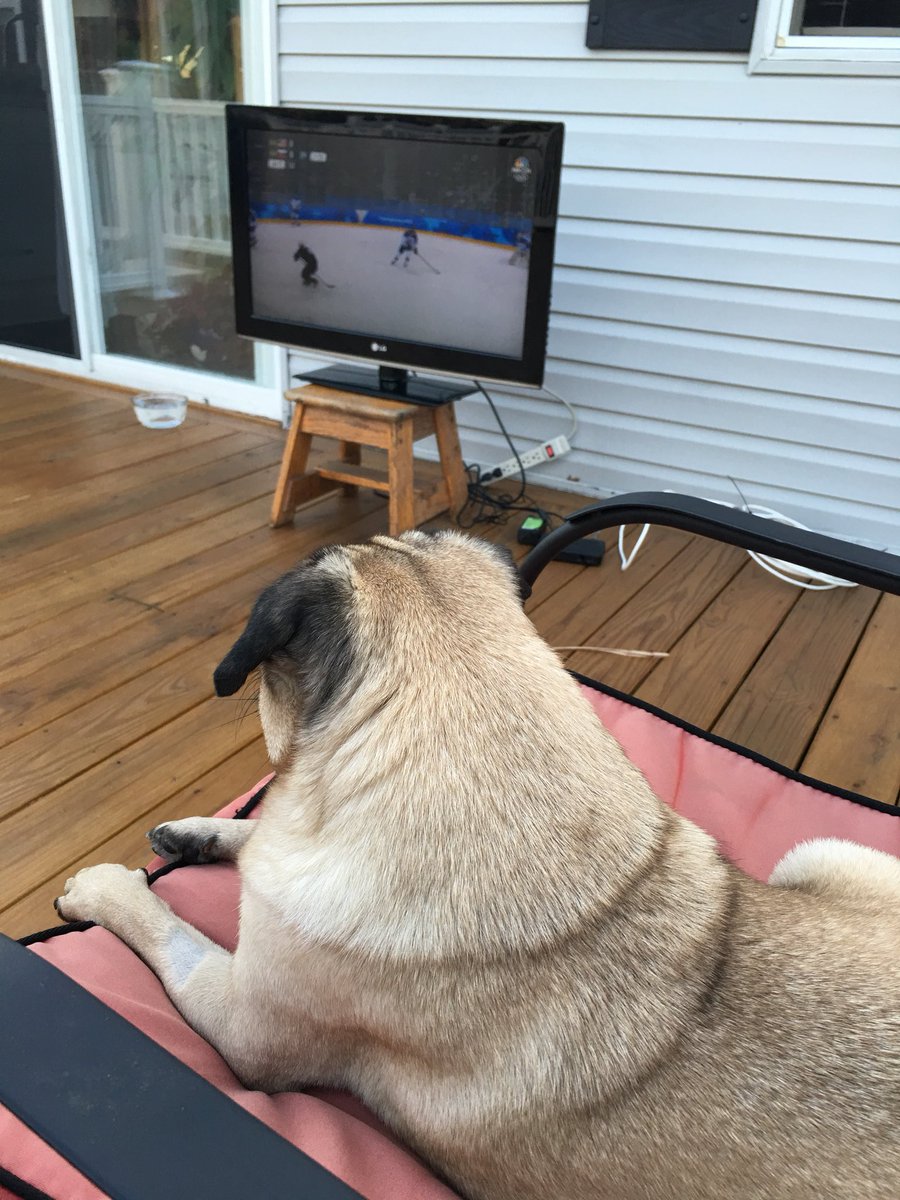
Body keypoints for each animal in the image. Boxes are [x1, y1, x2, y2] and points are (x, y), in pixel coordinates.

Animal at [58, 530, 900, 1195]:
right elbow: (260, 837)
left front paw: (103, 888)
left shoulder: (241, 1025)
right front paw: (203, 833)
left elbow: (165, 927)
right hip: (815, 853)